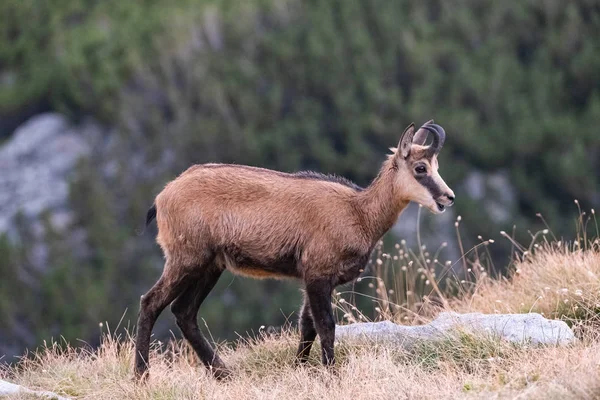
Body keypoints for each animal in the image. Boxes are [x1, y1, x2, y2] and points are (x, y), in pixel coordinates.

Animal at [135, 120, 454, 380]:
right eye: (421, 168)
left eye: (438, 167)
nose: (448, 197)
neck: (358, 212)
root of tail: (163, 197)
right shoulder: (318, 274)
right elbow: (325, 325)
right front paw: (331, 376)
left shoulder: (315, 278)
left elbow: (307, 325)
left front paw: (300, 369)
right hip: (186, 259)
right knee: (151, 302)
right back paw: (142, 376)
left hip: (210, 266)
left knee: (184, 312)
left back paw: (223, 374)